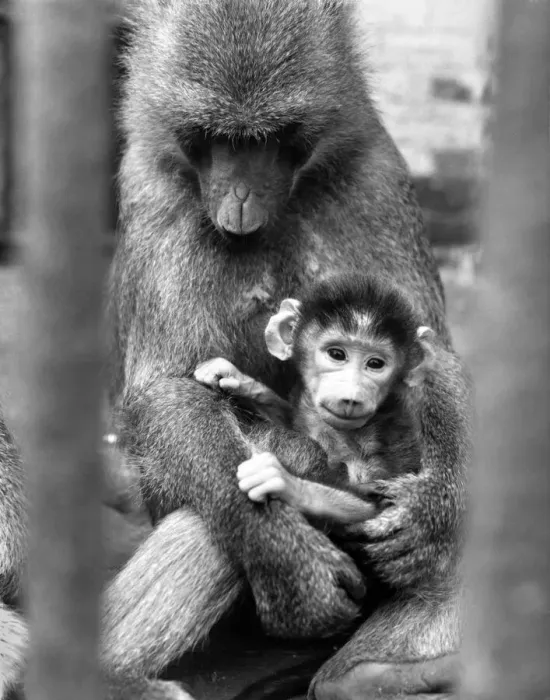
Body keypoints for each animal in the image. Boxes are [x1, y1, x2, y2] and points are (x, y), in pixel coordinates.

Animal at [194, 273, 437, 528]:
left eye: (375, 364)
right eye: (337, 354)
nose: (351, 397)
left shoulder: (387, 433)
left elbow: (376, 506)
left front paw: (285, 483)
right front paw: (238, 379)